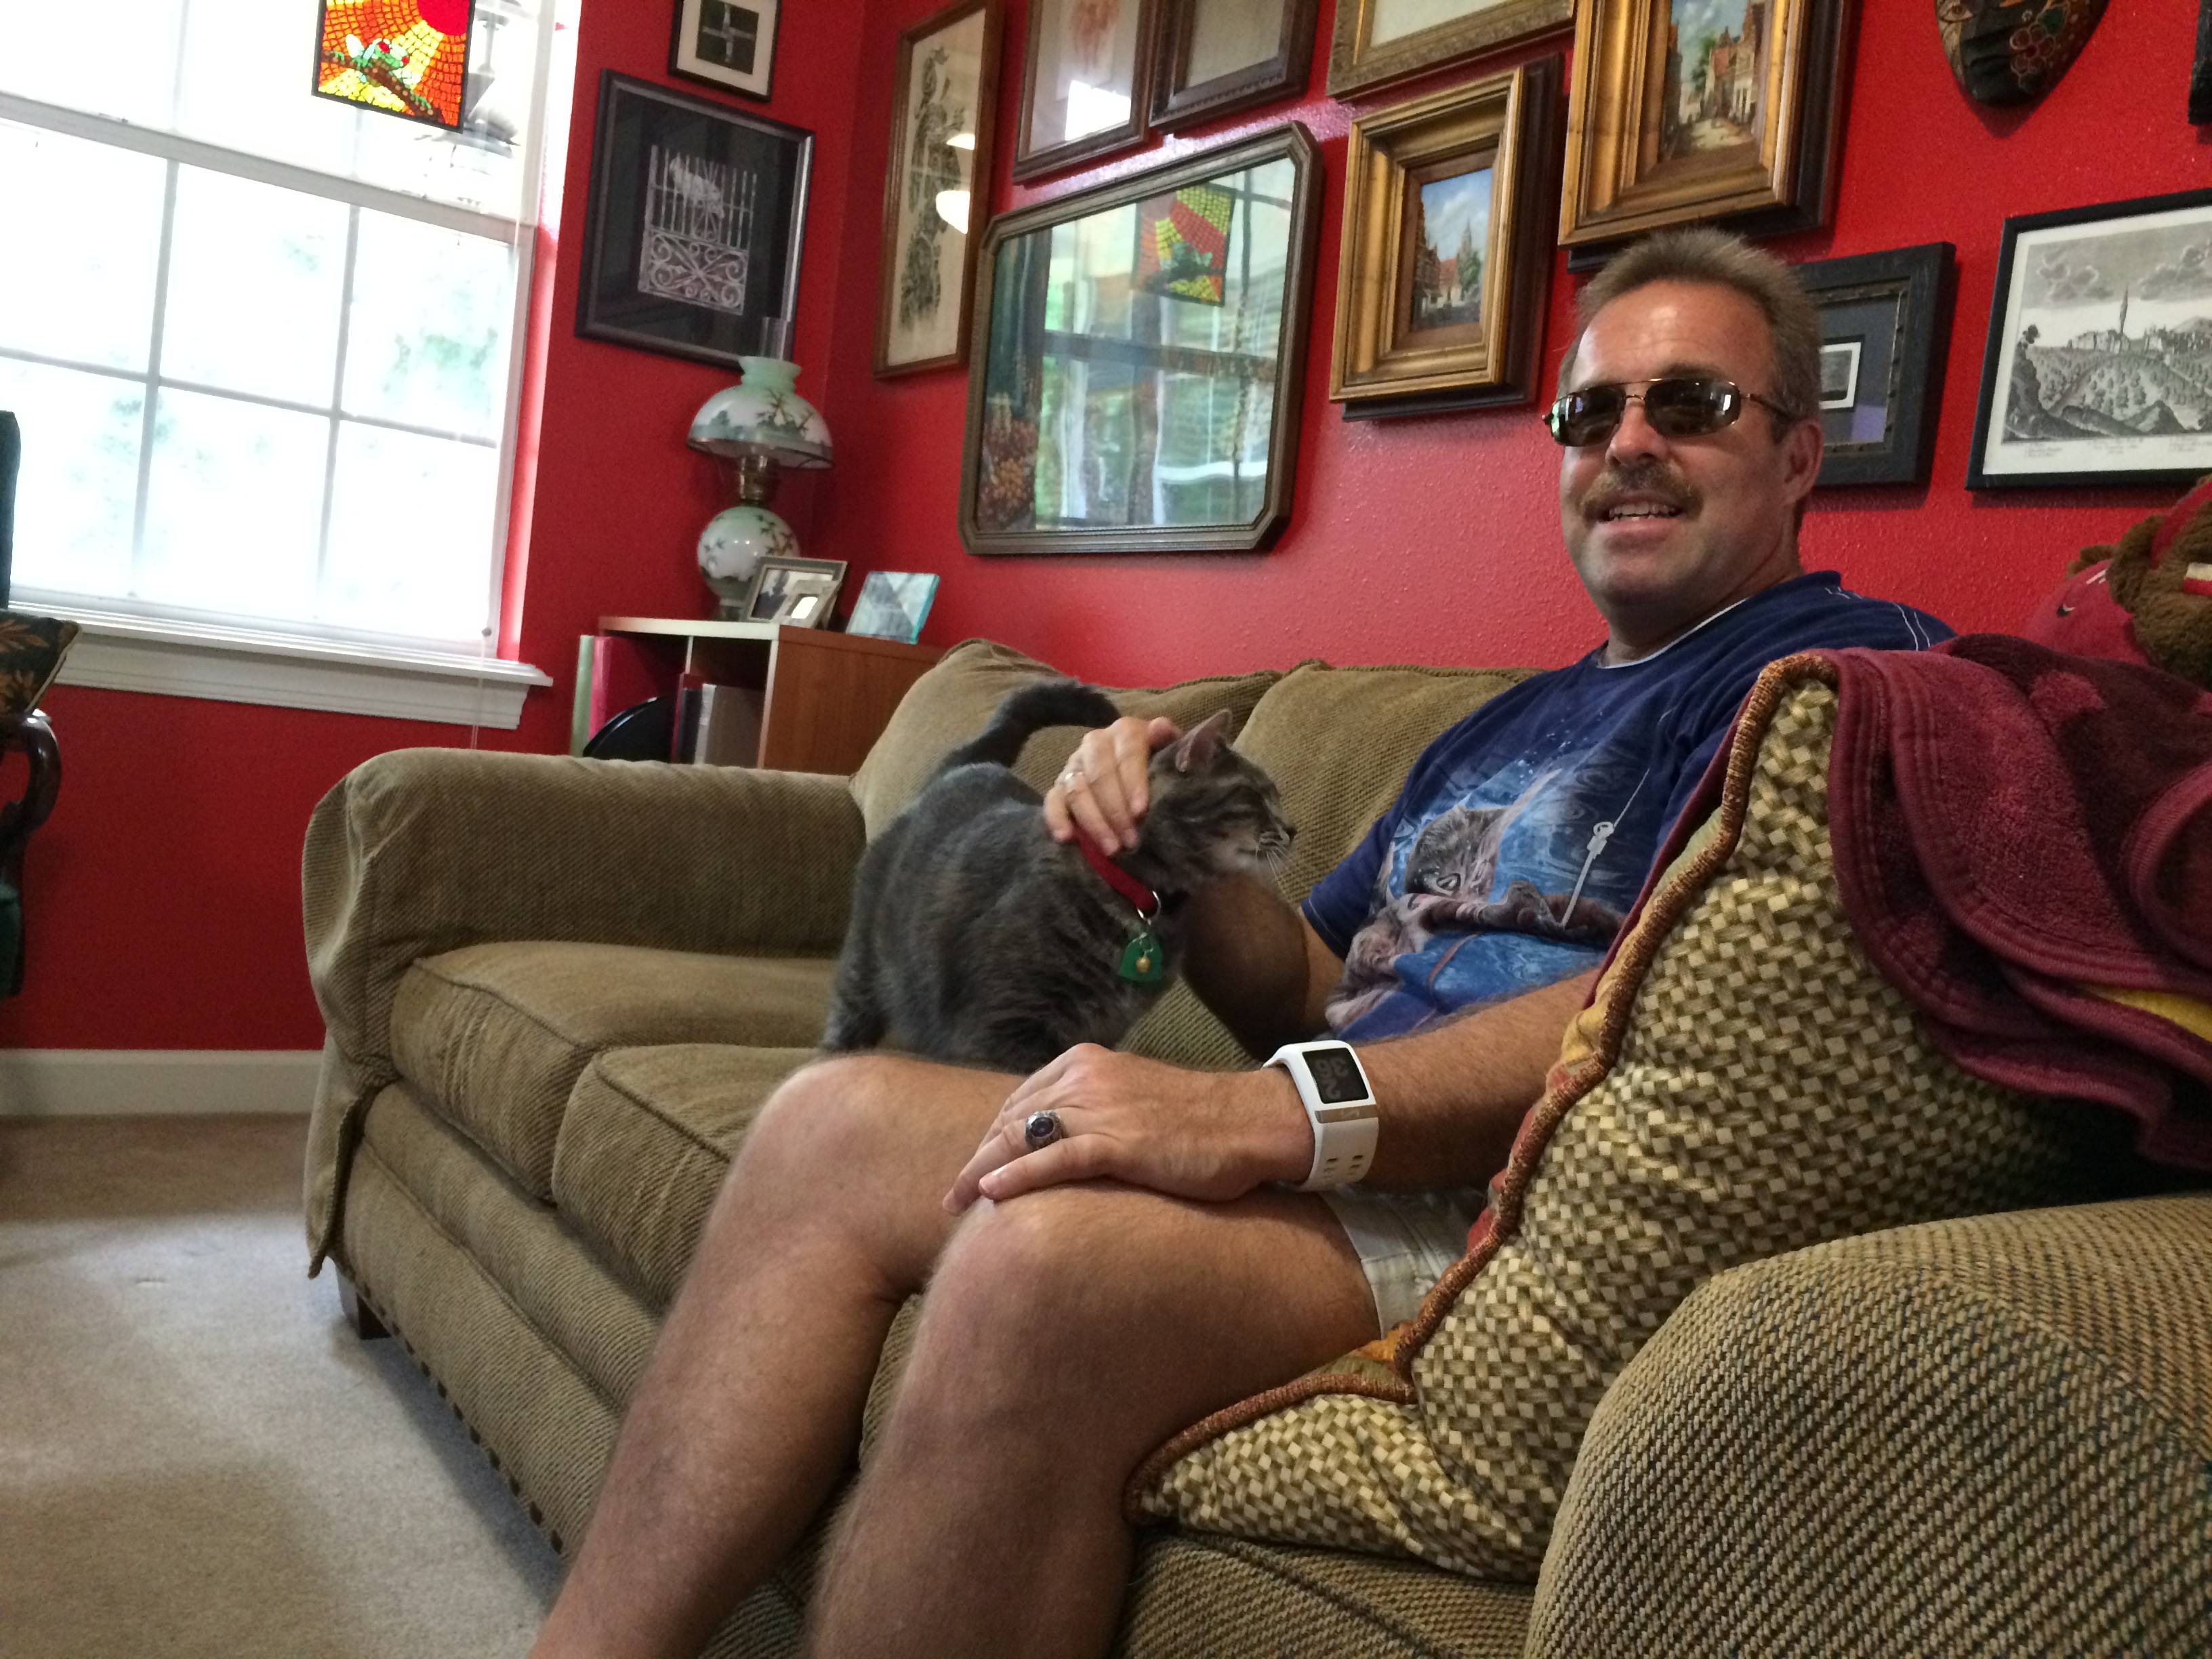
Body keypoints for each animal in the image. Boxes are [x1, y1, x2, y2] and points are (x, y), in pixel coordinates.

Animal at [822, 680, 1294, 1075]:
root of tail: (969, 766)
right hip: (864, 975)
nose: (1293, 829)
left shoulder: (1098, 1034)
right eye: (1256, 795)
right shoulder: (1002, 1029)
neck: (1144, 904)